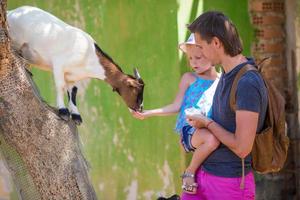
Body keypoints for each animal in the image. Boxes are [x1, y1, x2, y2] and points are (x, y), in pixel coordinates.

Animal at [6, 5, 144, 125]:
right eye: (136, 91)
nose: (140, 109)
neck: (89, 54)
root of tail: (11, 12)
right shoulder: (59, 64)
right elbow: (60, 86)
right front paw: (63, 112)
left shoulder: (73, 76)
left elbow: (73, 92)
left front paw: (77, 116)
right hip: (15, 39)